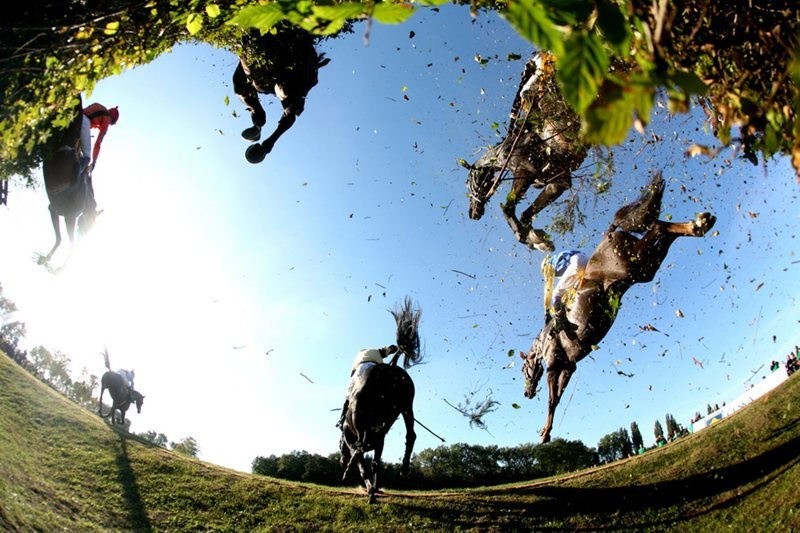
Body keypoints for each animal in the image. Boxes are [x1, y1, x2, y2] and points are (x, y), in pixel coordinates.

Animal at [39, 97, 100, 264]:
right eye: (88, 223)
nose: (84, 235)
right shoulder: (68, 217)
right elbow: (65, 241)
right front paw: (57, 264)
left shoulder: (53, 210)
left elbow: (61, 239)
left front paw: (46, 260)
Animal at [340, 300, 422, 502]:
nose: (340, 460)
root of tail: (390, 368)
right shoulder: (380, 443)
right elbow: (375, 464)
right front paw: (373, 490)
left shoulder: (351, 437)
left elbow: (363, 464)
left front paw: (370, 490)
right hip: (406, 406)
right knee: (411, 434)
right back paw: (404, 468)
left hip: (359, 411)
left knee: (362, 442)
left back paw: (349, 469)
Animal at [462, 52, 588, 251]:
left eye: (469, 185)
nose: (472, 213)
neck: (508, 151)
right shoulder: (557, 182)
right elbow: (526, 215)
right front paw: (536, 238)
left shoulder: (525, 173)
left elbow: (508, 208)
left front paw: (529, 237)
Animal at [520, 172, 716, 442]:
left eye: (522, 370)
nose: (526, 394)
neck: (547, 341)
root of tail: (610, 234)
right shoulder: (568, 368)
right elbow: (557, 399)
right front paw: (545, 430)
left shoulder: (555, 367)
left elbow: (551, 401)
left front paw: (544, 434)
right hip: (642, 267)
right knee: (661, 229)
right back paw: (699, 224)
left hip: (635, 266)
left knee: (658, 228)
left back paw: (699, 224)